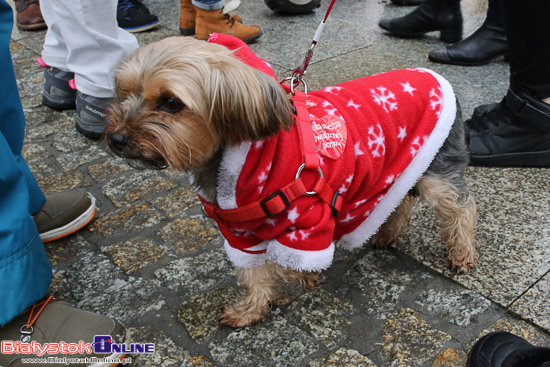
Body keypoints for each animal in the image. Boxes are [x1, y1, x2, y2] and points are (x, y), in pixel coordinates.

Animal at [106, 34, 478, 328]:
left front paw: (306, 277)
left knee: (461, 207)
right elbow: (252, 271)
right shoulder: (236, 230)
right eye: (123, 93)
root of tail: (439, 79)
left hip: (435, 166)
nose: (115, 139)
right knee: (400, 200)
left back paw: (461, 254)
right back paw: (386, 233)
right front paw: (251, 310)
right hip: (400, 164)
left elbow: (284, 263)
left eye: (171, 102)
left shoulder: (310, 221)